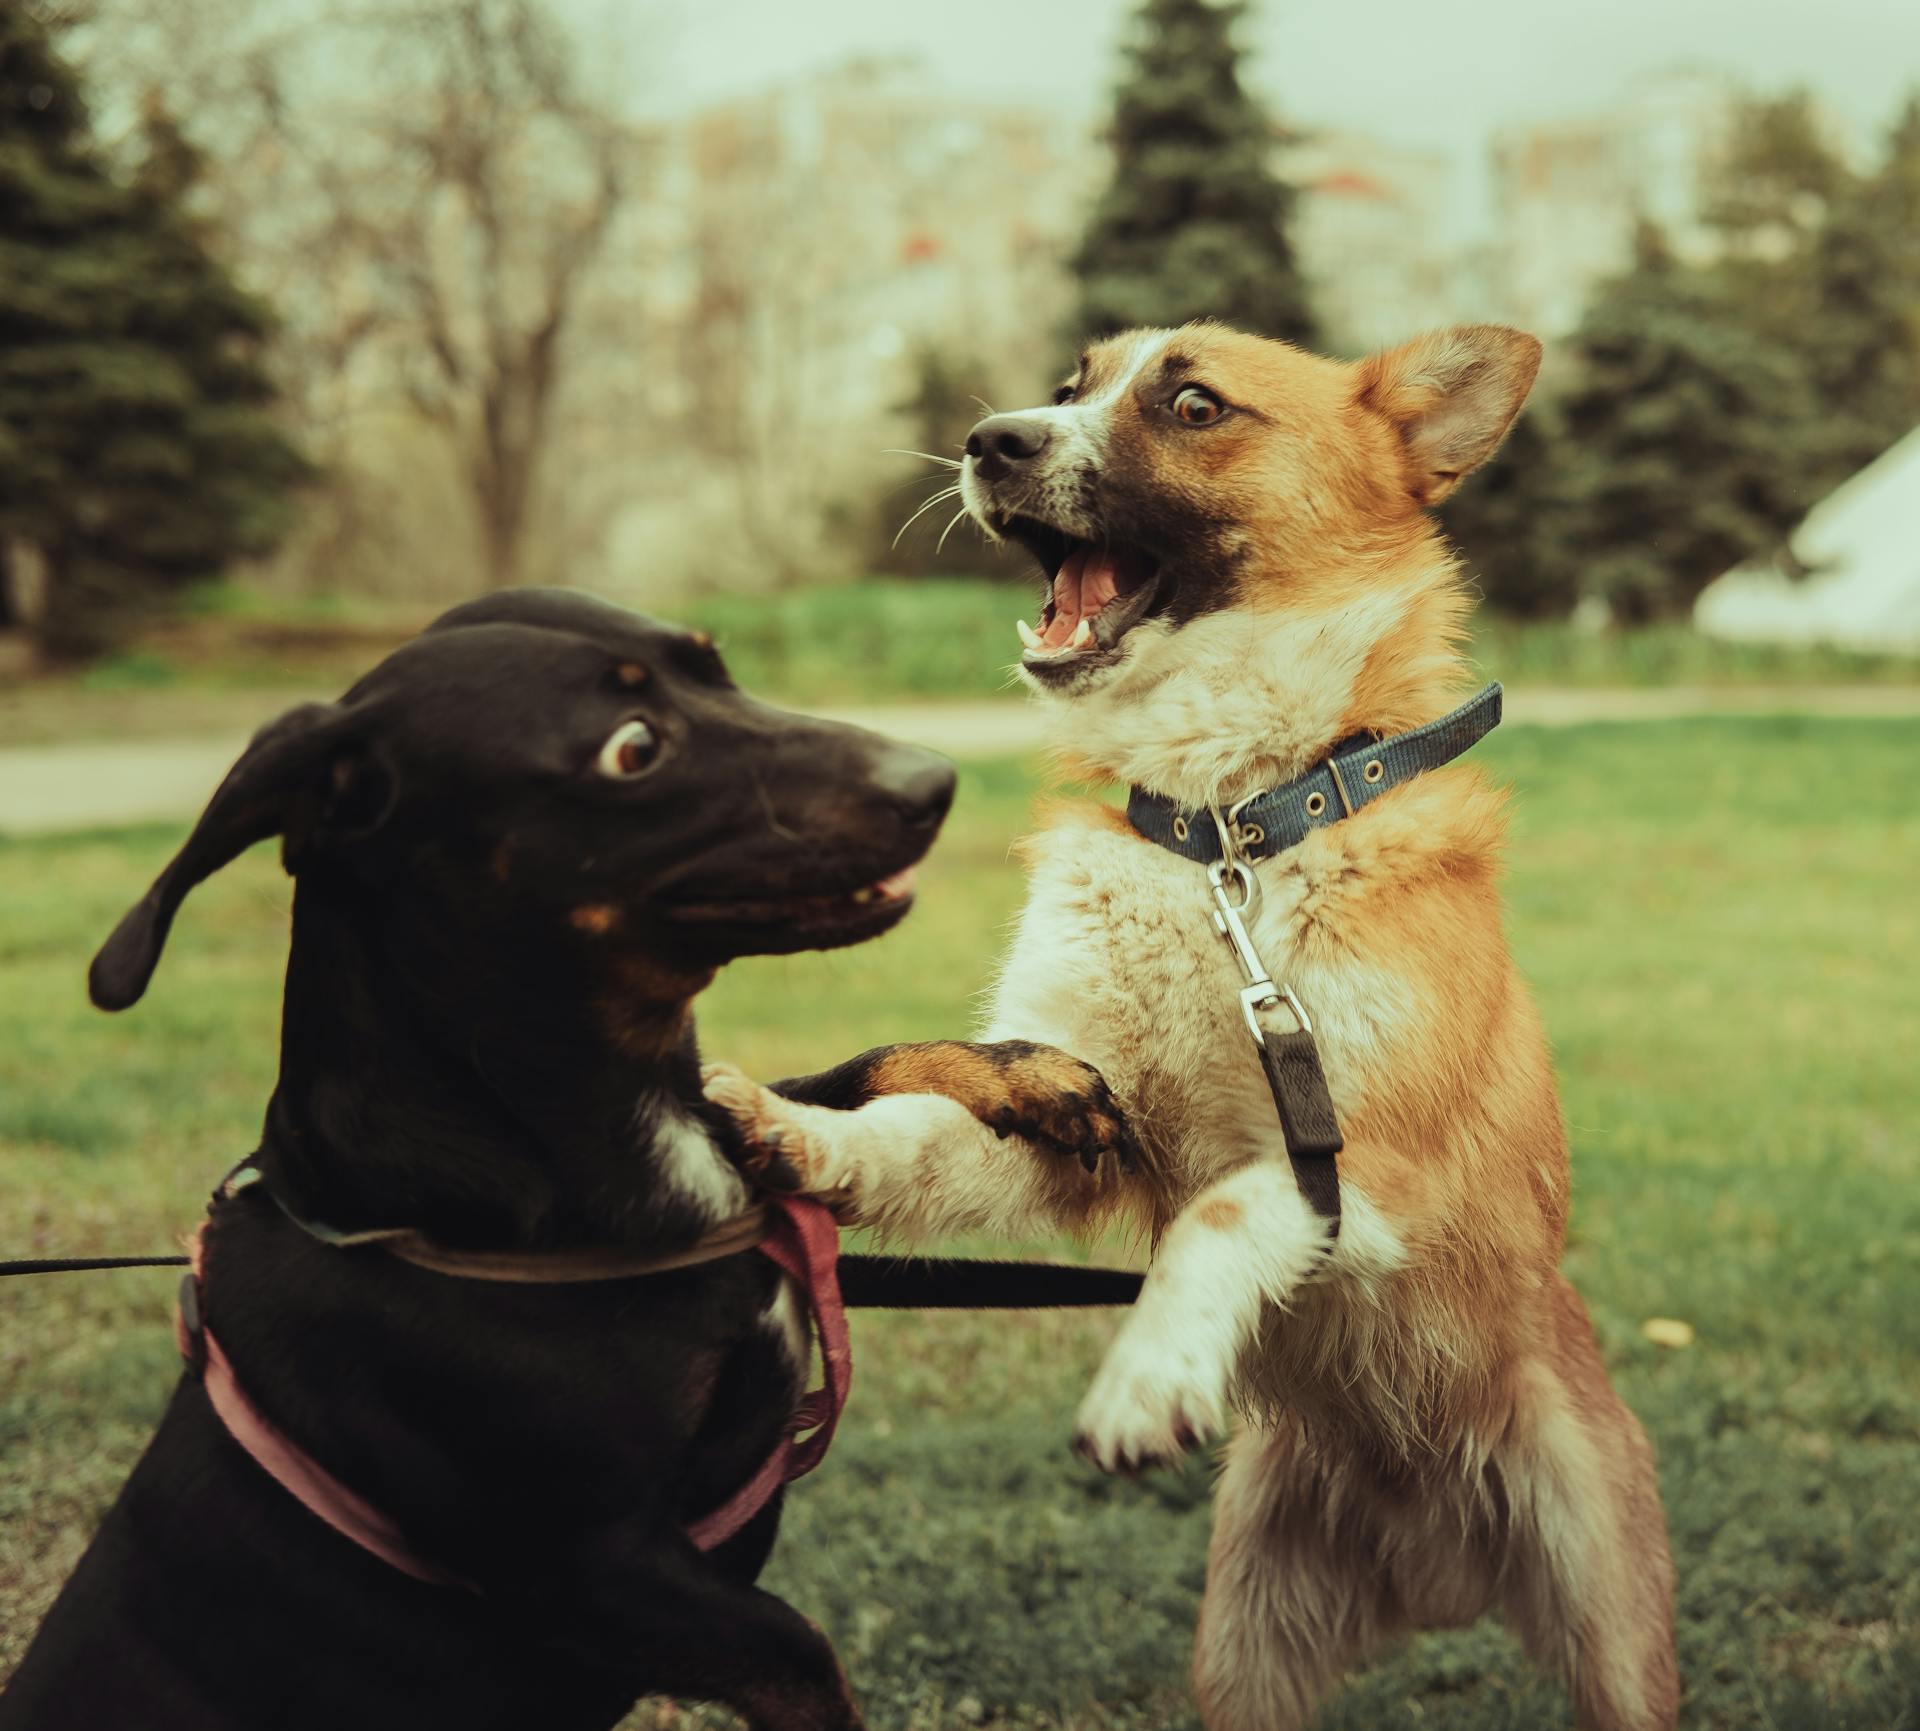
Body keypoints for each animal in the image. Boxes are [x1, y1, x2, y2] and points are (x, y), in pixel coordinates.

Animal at [0, 591, 960, 1731]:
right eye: (632, 749)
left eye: (715, 666)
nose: (936, 778)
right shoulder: (597, 1574)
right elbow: (806, 1654)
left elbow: (855, 1076)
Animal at [710, 326, 1681, 1731]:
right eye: (1070, 389)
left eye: (1191, 405)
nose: (989, 440)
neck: (1225, 831)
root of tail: (1431, 1552)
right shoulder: (1082, 1134)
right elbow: (927, 1127)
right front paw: (795, 1132)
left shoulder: (1381, 1164)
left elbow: (1231, 1207)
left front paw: (1146, 1374)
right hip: (1246, 1642)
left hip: (1607, 1615)